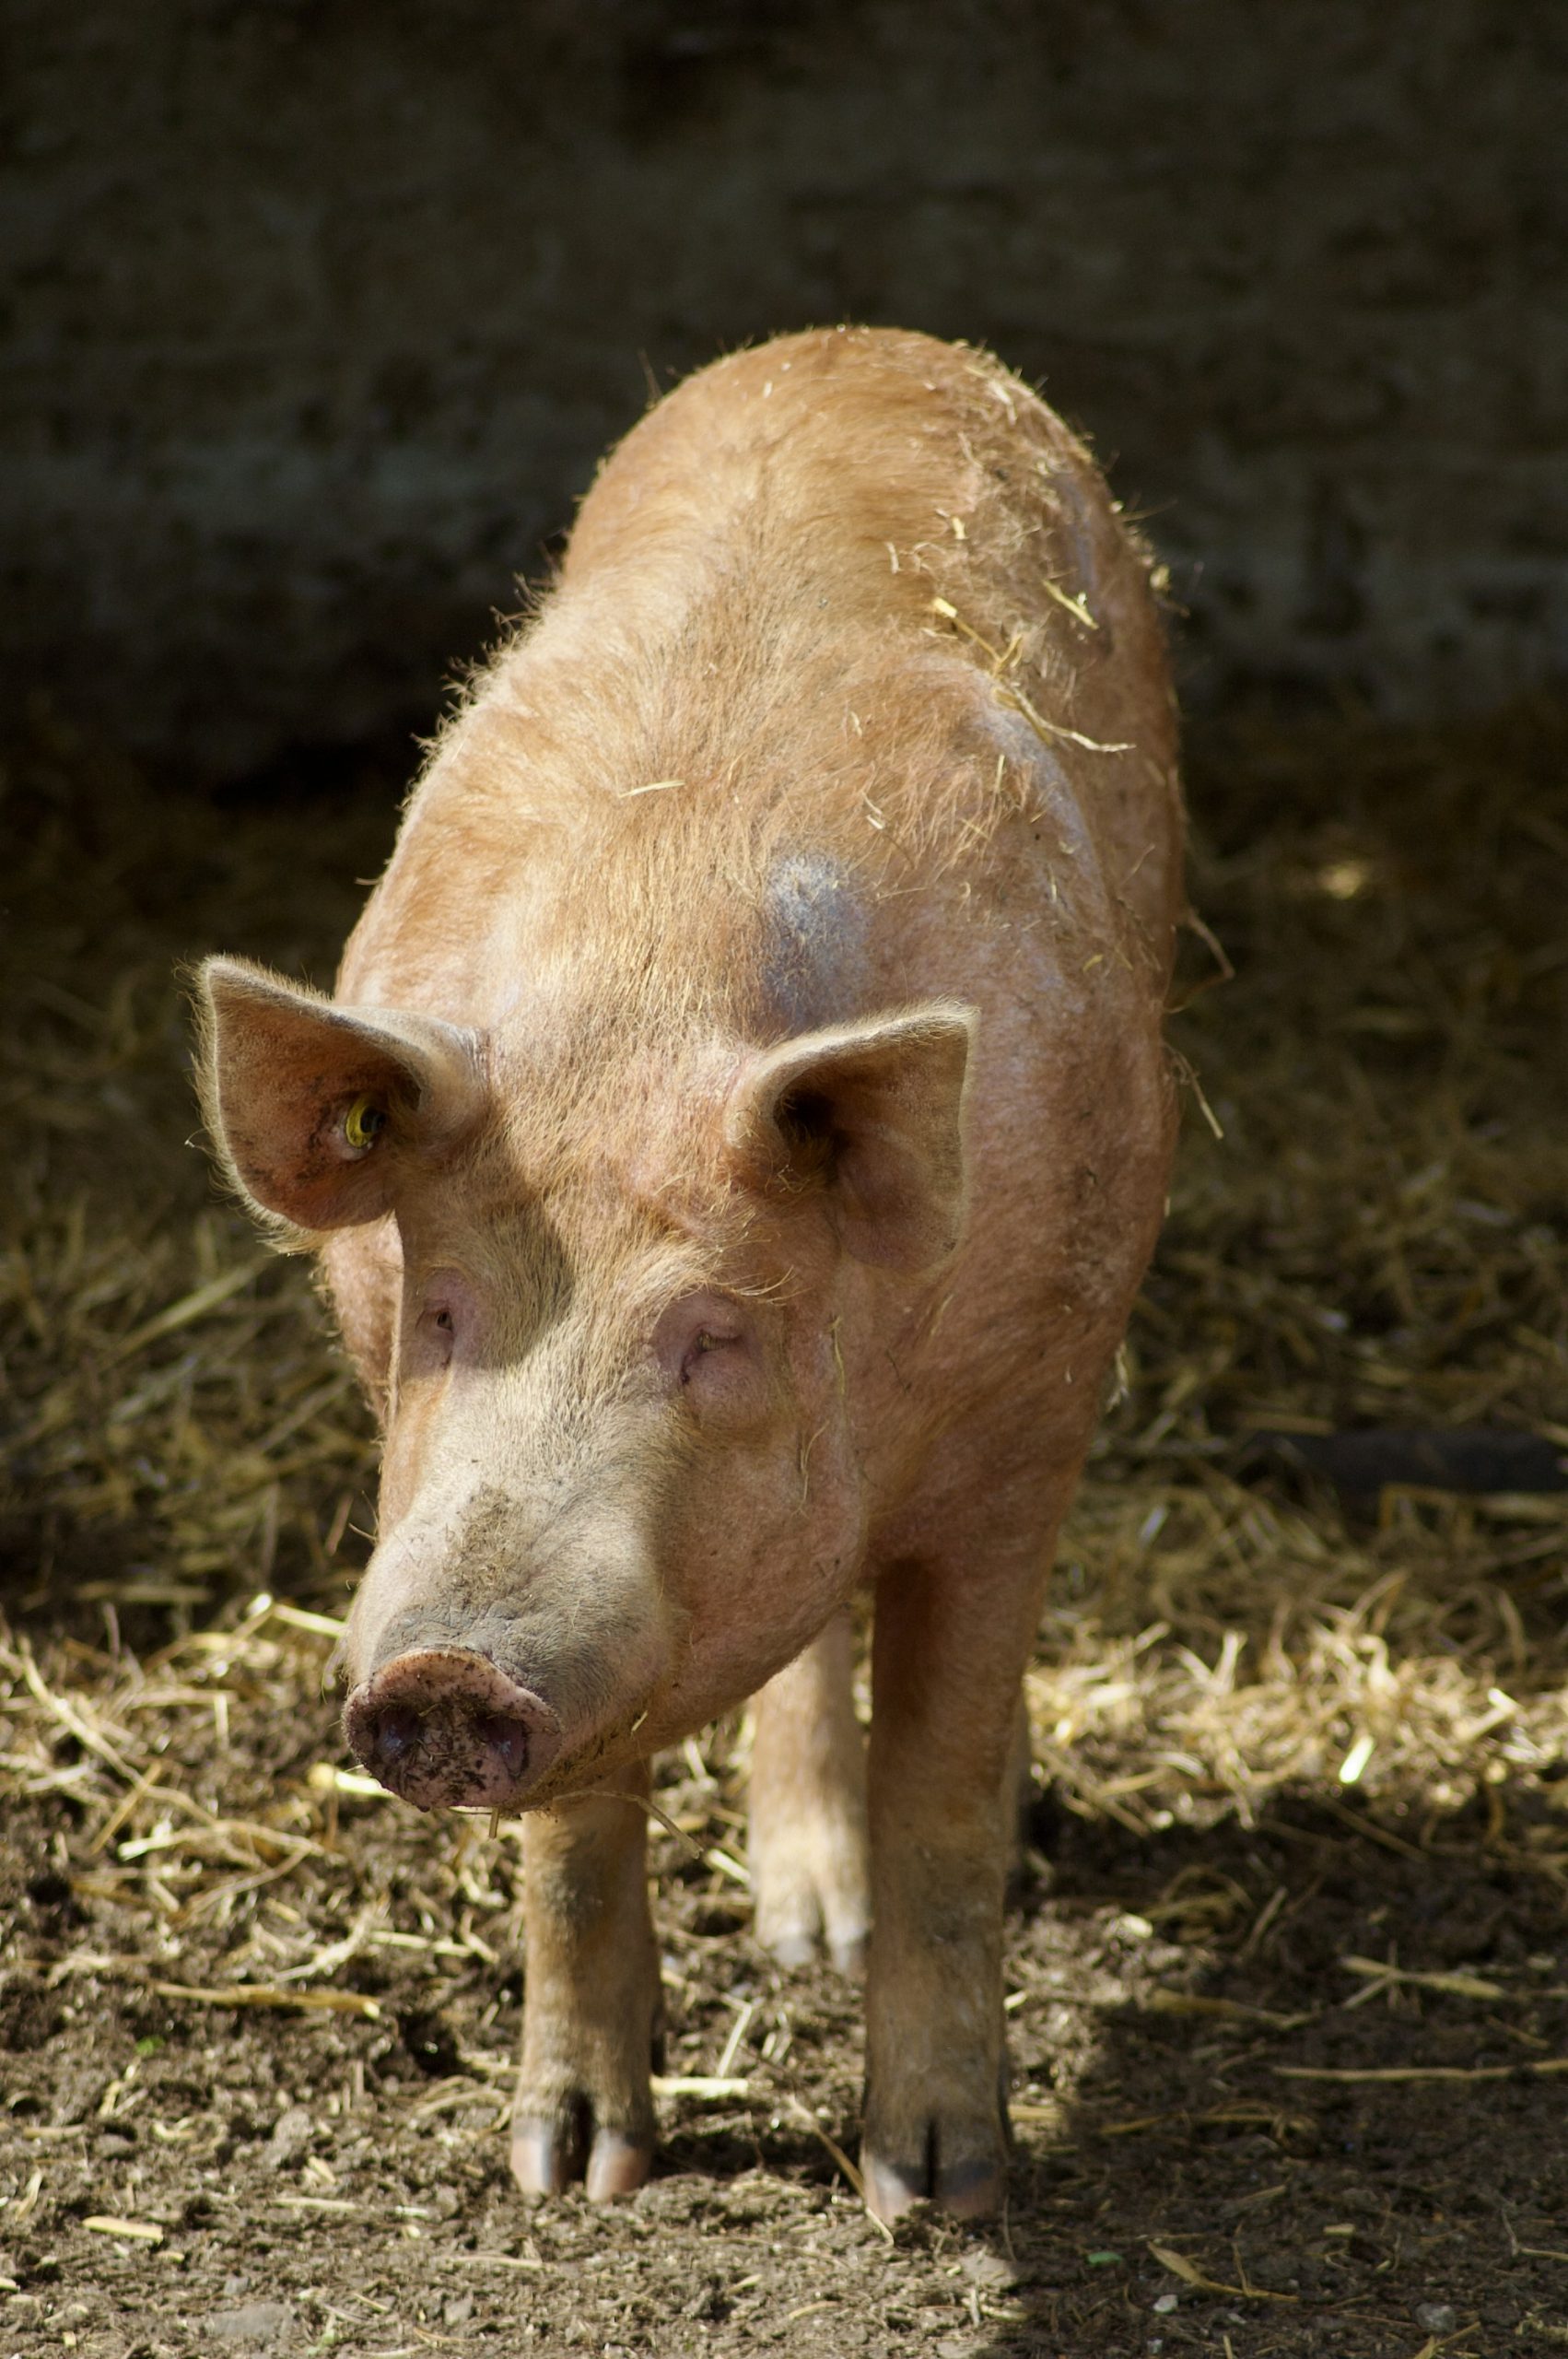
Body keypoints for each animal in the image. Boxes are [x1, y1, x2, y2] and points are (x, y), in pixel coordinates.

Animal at [197, 326, 1183, 2222]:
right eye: (442, 1313)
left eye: (715, 1335)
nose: (447, 1672)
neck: (646, 999)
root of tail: (857, 338)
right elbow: (580, 1832)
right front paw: (571, 2175)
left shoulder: (1029, 1414)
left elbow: (942, 1787)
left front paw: (934, 2194)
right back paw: (802, 1933)